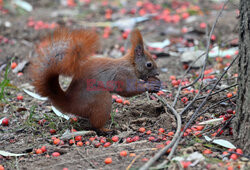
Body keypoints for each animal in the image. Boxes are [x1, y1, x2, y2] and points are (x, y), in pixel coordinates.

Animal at [30, 28, 160, 129]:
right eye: (149, 64)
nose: (158, 73)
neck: (131, 65)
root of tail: (70, 102)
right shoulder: (123, 75)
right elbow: (128, 89)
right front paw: (149, 85)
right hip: (101, 98)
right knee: (95, 124)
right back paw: (105, 130)